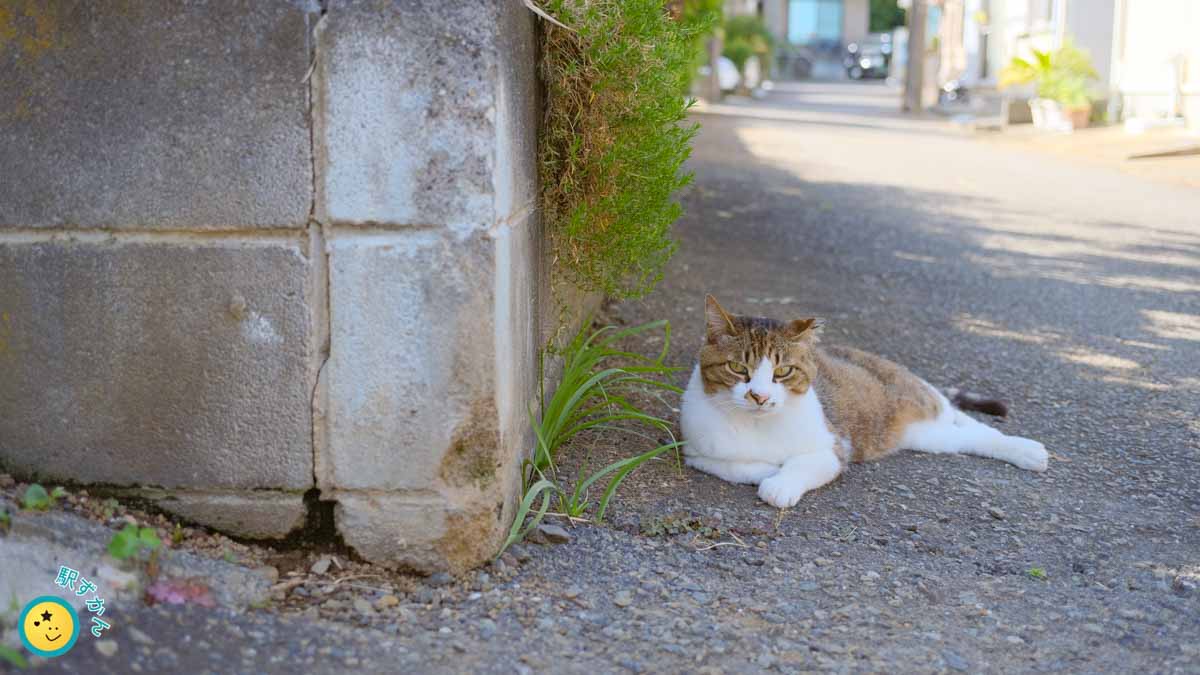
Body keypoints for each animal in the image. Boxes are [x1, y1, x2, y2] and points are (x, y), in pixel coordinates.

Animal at [681, 291, 1046, 506]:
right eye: (737, 368)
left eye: (783, 371)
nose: (759, 396)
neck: (757, 426)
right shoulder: (697, 453)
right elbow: (736, 467)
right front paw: (766, 470)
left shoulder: (834, 447)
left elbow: (805, 464)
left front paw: (780, 484)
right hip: (926, 436)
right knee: (964, 436)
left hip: (922, 405)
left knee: (972, 425)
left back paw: (1028, 450)